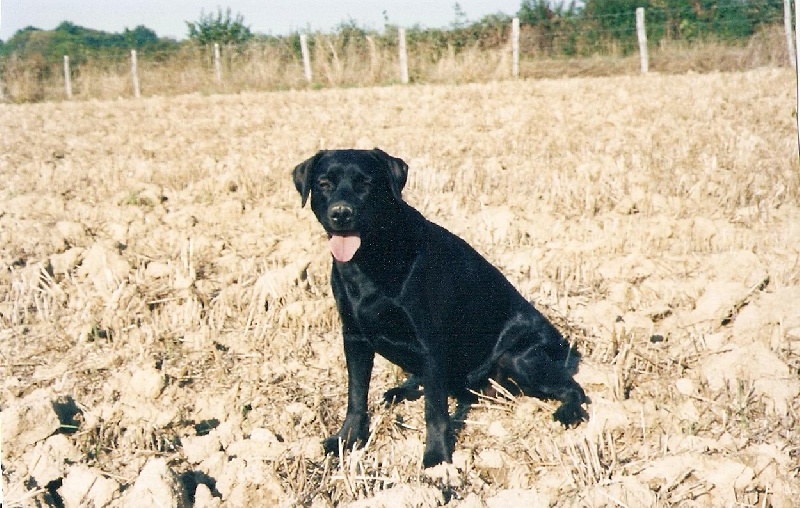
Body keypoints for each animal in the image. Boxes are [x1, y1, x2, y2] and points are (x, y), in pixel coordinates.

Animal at [294, 148, 588, 468]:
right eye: (324, 184)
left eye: (365, 183)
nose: (341, 213)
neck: (372, 258)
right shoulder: (354, 338)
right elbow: (356, 397)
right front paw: (345, 440)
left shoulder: (430, 344)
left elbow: (434, 410)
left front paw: (436, 457)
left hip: (519, 357)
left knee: (574, 388)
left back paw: (568, 412)